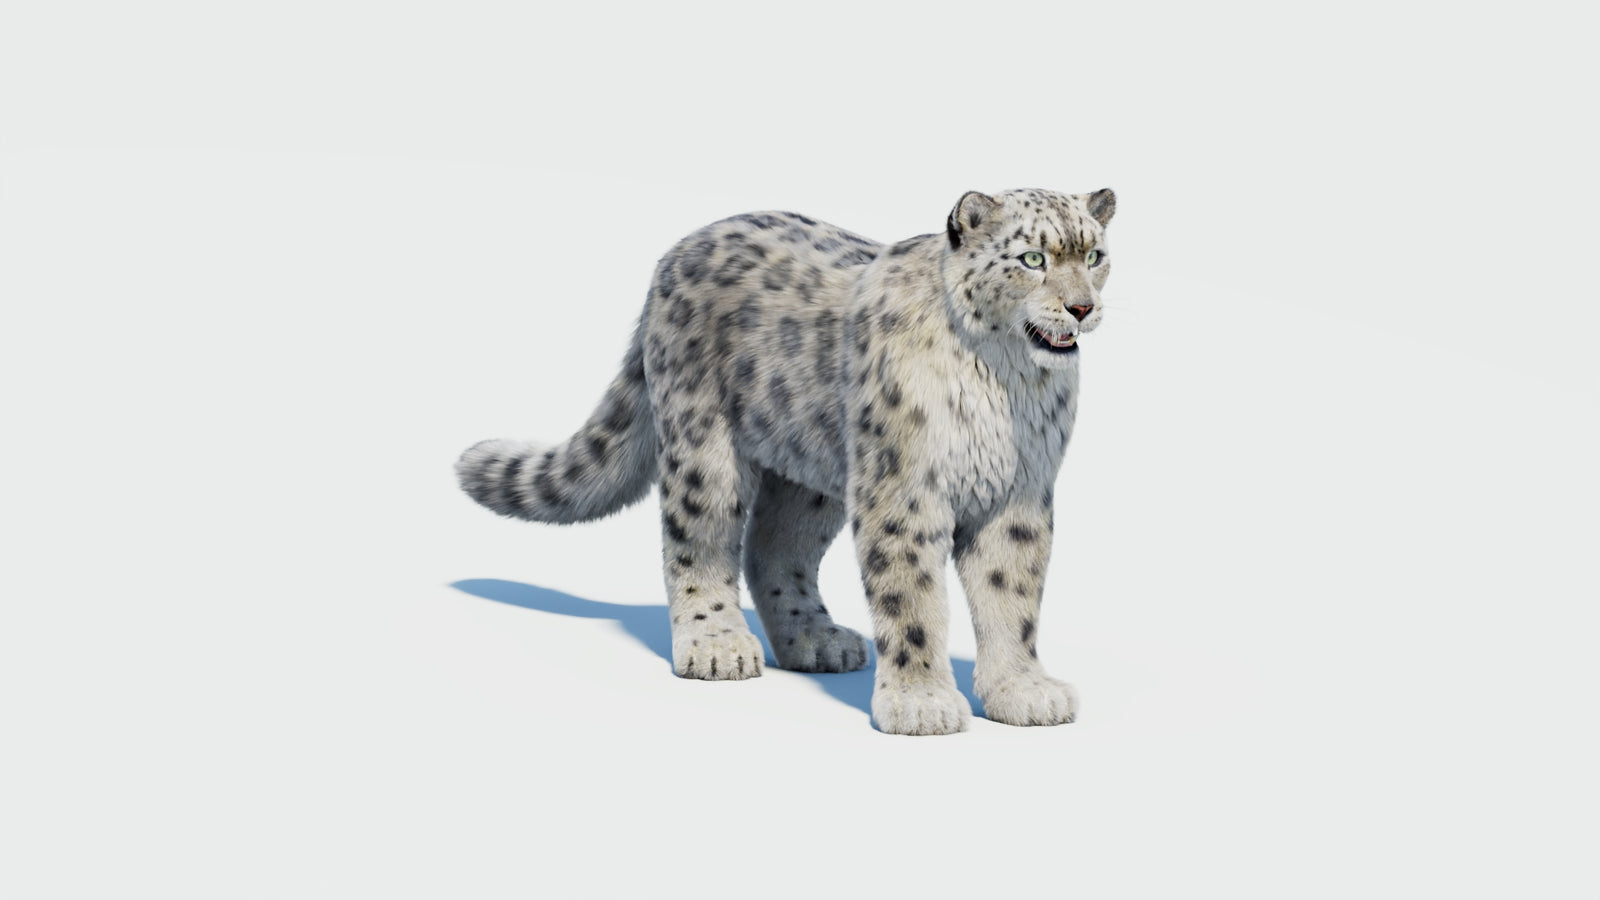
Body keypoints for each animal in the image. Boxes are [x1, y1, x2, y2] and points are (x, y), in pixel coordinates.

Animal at [456, 187, 1116, 735]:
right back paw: (717, 644)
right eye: (1032, 259)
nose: (1082, 308)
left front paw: (1022, 692)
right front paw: (922, 703)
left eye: (1095, 255)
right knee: (698, 540)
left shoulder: (1020, 493)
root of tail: (678, 250)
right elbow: (912, 599)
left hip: (814, 472)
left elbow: (1013, 596)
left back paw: (816, 639)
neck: (1006, 383)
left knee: (773, 546)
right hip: (705, 450)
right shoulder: (903, 489)